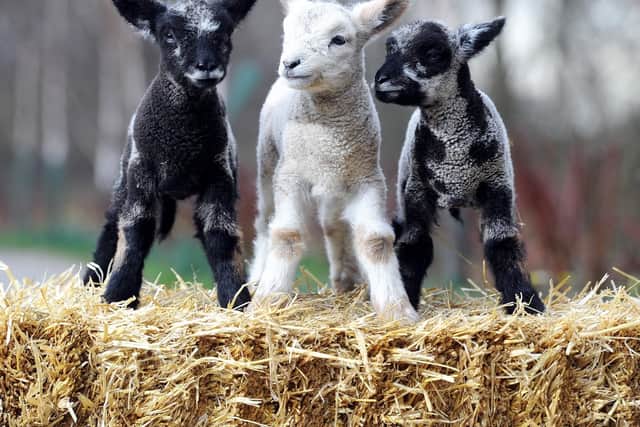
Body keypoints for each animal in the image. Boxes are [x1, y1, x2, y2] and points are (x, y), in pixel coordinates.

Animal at [83, 0, 257, 309]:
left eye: (225, 33)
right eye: (168, 35)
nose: (206, 66)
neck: (182, 144)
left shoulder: (220, 174)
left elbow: (220, 234)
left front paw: (235, 300)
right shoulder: (141, 171)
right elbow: (136, 230)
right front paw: (118, 296)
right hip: (122, 178)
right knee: (111, 225)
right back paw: (91, 282)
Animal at [248, 0, 418, 322]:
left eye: (339, 40)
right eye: (286, 33)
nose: (290, 63)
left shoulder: (368, 178)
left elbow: (375, 241)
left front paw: (397, 310)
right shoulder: (291, 175)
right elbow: (287, 234)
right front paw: (268, 300)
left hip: (337, 184)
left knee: (334, 225)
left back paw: (346, 280)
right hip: (268, 160)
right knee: (265, 222)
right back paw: (254, 281)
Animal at [374, 17, 545, 314]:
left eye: (432, 53)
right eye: (389, 49)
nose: (380, 81)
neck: (454, 155)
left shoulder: (499, 187)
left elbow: (501, 242)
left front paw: (525, 304)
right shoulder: (416, 191)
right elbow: (414, 244)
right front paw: (404, 302)